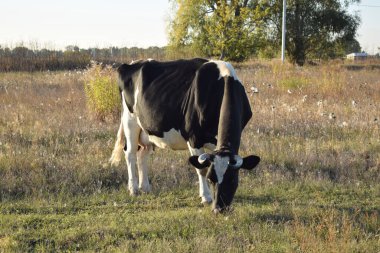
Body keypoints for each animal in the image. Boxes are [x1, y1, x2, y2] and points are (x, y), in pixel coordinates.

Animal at [108, 58, 260, 212]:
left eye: (233, 179)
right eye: (211, 178)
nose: (219, 209)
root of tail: (132, 63)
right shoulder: (194, 138)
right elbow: (201, 168)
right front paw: (206, 197)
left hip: (148, 130)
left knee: (143, 155)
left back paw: (145, 187)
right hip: (130, 122)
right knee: (130, 154)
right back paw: (133, 189)